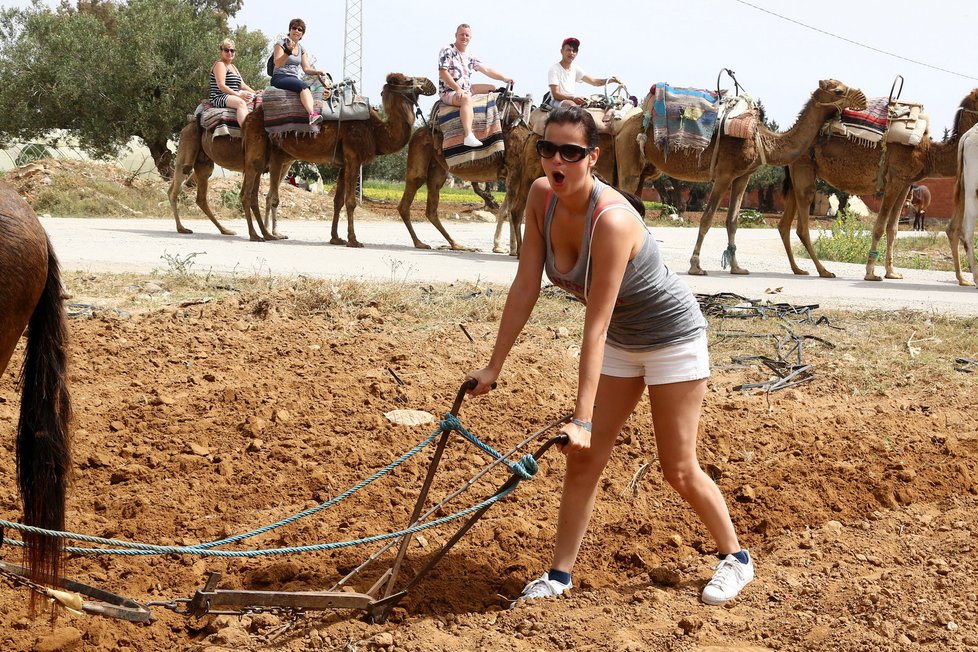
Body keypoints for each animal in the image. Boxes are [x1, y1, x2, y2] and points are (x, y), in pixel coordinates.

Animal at [238, 71, 432, 244]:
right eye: (408, 80)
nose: (429, 84)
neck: (376, 131)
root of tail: (249, 116)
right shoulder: (354, 157)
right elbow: (351, 201)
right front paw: (353, 240)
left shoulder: (344, 164)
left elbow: (338, 201)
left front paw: (336, 238)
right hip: (258, 146)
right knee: (248, 192)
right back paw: (255, 235)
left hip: (273, 154)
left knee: (257, 193)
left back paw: (266, 234)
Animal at [396, 91, 532, 252]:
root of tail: (421, 129)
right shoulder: (514, 171)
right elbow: (509, 211)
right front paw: (506, 249)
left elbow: (513, 210)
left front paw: (510, 248)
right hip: (419, 149)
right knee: (411, 192)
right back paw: (420, 243)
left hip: (438, 169)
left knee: (431, 206)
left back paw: (456, 244)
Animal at [612, 79, 864, 276]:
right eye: (839, 90)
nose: (862, 98)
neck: (763, 141)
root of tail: (622, 128)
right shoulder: (724, 174)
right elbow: (707, 218)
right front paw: (696, 266)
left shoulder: (742, 177)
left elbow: (732, 221)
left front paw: (736, 267)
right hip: (629, 164)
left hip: (643, 170)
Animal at [780, 87, 978, 280]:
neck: (927, 153)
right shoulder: (894, 181)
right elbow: (880, 227)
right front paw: (871, 273)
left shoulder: (905, 184)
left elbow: (893, 228)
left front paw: (892, 272)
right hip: (804, 168)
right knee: (802, 226)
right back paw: (824, 271)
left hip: (797, 173)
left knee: (784, 224)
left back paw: (798, 269)